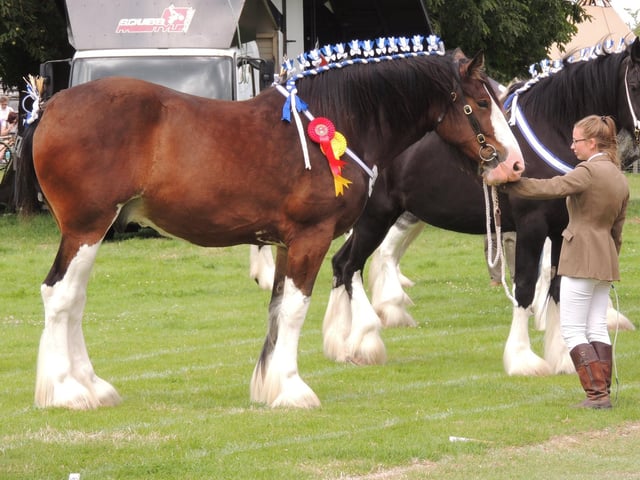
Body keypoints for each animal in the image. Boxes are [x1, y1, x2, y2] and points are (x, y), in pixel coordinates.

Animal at [15, 40, 525, 410]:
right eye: (481, 102)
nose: (515, 164)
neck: (338, 124)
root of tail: (50, 106)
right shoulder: (309, 238)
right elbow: (296, 309)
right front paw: (293, 389)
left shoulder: (283, 244)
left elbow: (279, 307)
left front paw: (270, 386)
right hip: (85, 228)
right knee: (60, 296)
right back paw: (66, 390)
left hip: (92, 232)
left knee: (74, 300)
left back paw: (93, 385)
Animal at [321, 37, 640, 372]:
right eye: (634, 84)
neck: (548, 128)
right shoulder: (532, 226)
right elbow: (525, 286)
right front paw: (523, 359)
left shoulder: (563, 228)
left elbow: (557, 288)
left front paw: (563, 357)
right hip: (375, 218)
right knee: (351, 266)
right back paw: (365, 340)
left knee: (342, 263)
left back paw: (339, 343)